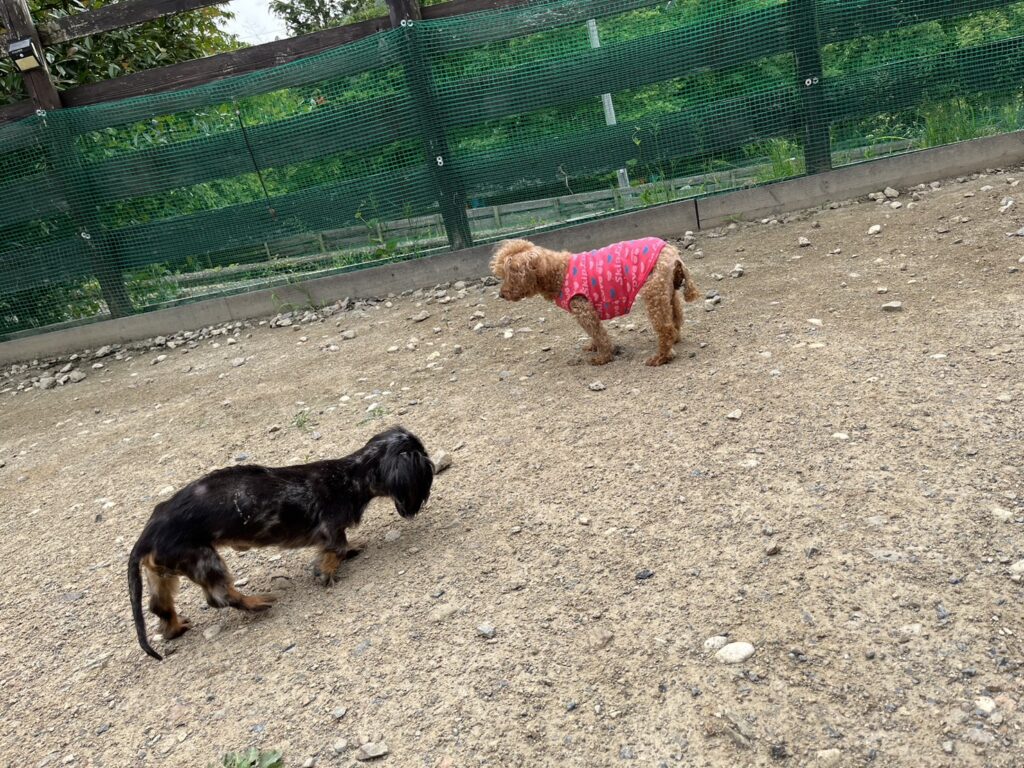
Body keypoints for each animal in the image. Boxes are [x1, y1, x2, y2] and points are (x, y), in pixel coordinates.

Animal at [128, 426, 434, 660]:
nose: (432, 462)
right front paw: (326, 571)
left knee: (159, 608)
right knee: (220, 597)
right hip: (203, 559)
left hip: (163, 573)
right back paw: (257, 602)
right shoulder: (331, 529)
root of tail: (148, 532)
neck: (351, 476)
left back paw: (175, 628)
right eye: (421, 456)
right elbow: (336, 550)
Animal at [490, 237, 698, 366]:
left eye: (509, 275)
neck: (557, 272)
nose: (501, 294)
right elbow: (594, 335)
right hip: (667, 290)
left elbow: (598, 334)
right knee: (676, 318)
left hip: (653, 292)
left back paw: (661, 357)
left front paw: (603, 357)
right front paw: (593, 347)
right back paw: (674, 340)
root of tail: (671, 251)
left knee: (665, 328)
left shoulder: (583, 309)